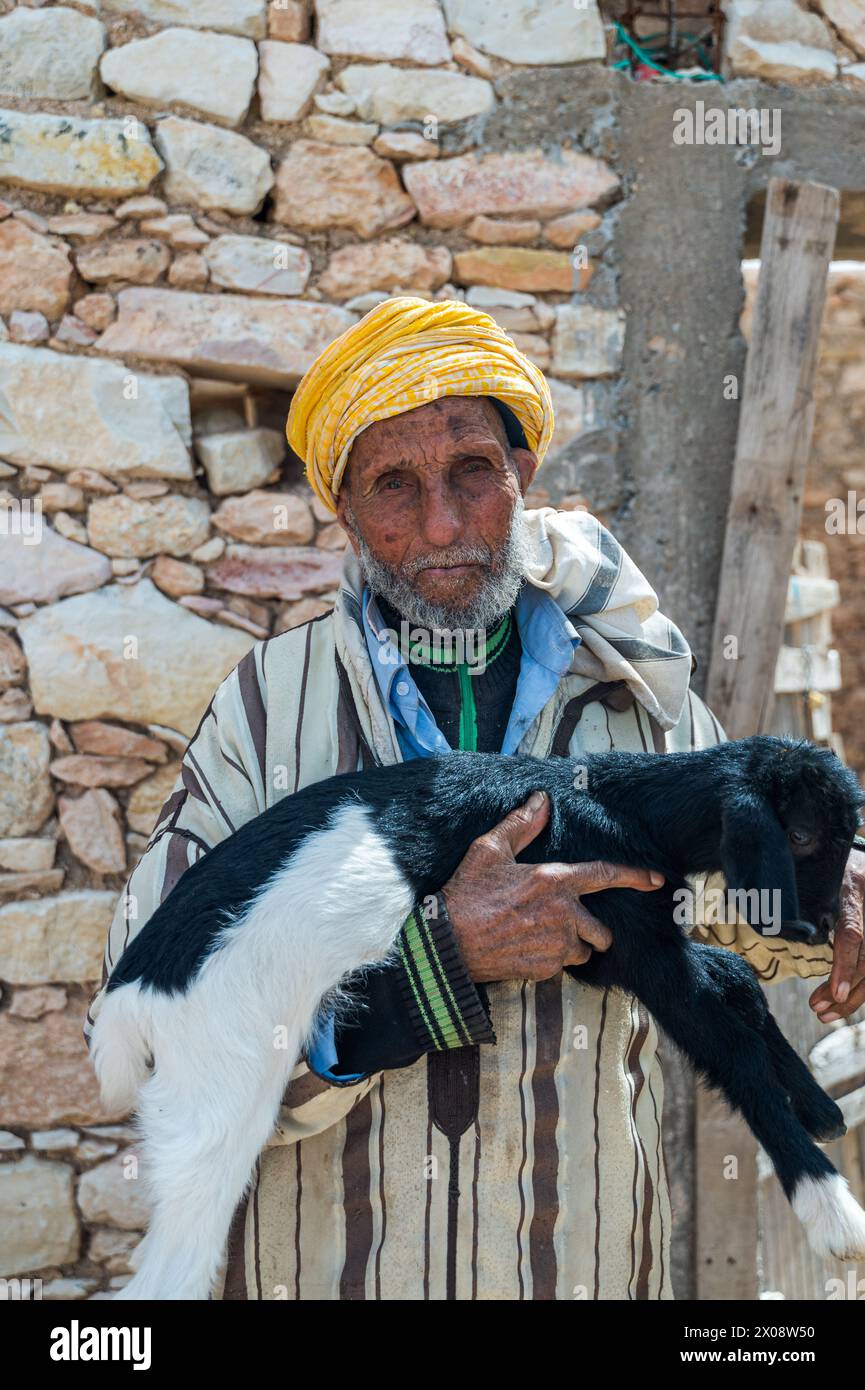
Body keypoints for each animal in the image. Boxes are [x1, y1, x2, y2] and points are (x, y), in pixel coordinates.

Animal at [89, 734, 865, 1301]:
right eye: (799, 835)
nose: (824, 926)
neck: (621, 804)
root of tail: (128, 1000)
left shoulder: (605, 950)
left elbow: (738, 982)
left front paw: (822, 1109)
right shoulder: (634, 939)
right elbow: (729, 1049)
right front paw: (830, 1208)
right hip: (216, 1101)